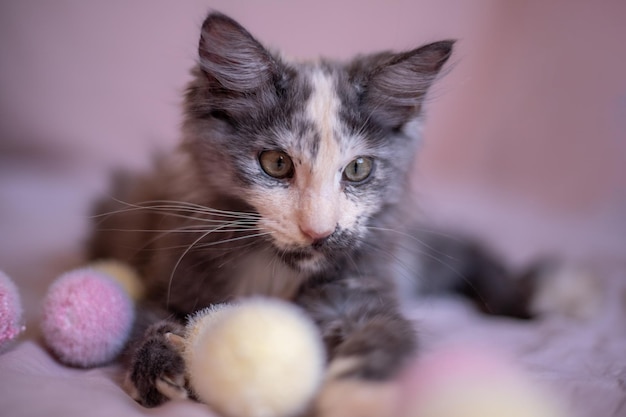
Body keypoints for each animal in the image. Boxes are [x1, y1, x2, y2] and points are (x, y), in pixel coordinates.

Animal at [88, 10, 482, 410]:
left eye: (359, 168)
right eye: (276, 163)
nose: (319, 231)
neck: (275, 269)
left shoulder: (364, 291)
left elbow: (386, 334)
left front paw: (357, 395)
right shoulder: (170, 273)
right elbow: (144, 317)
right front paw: (156, 364)